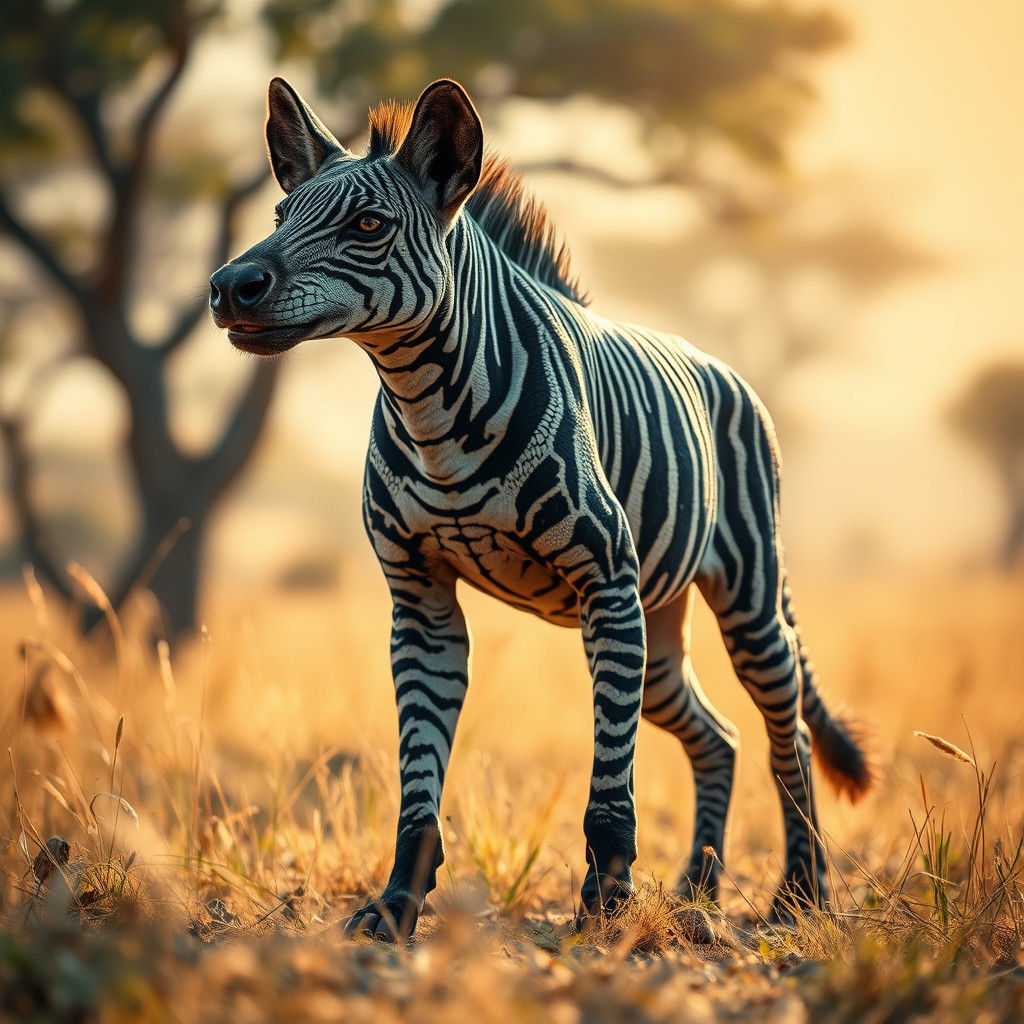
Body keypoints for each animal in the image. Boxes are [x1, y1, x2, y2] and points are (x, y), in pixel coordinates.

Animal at [210, 77, 873, 941]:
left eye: (368, 225)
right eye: (280, 217)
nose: (229, 287)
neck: (431, 409)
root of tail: (726, 371)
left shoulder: (605, 583)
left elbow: (610, 786)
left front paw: (606, 914)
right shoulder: (421, 605)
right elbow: (419, 779)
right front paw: (394, 908)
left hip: (744, 596)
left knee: (782, 727)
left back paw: (799, 894)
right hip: (658, 631)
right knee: (719, 736)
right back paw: (697, 891)